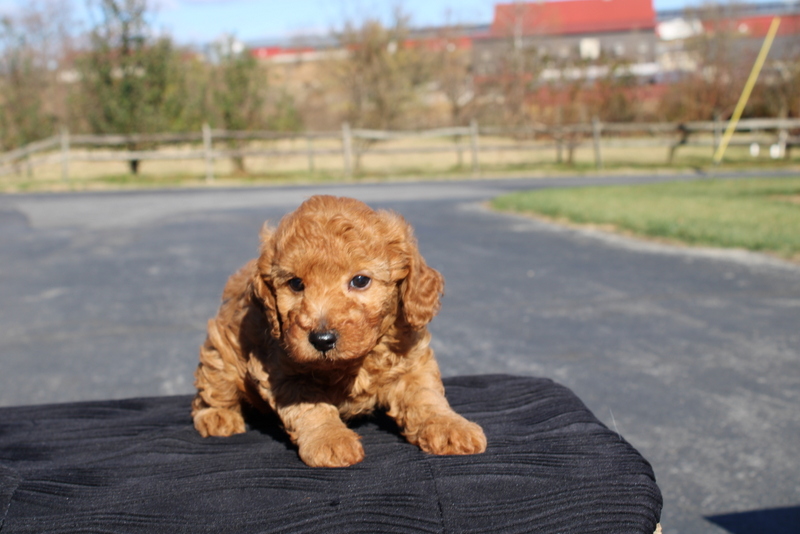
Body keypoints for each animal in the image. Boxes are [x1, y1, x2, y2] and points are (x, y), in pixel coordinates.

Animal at [192, 196, 488, 468]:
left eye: (360, 280)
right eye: (296, 284)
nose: (322, 340)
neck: (355, 362)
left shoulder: (412, 362)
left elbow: (426, 396)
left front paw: (450, 427)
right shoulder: (281, 369)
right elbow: (312, 405)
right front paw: (330, 440)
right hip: (222, 350)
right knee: (213, 386)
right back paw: (217, 417)